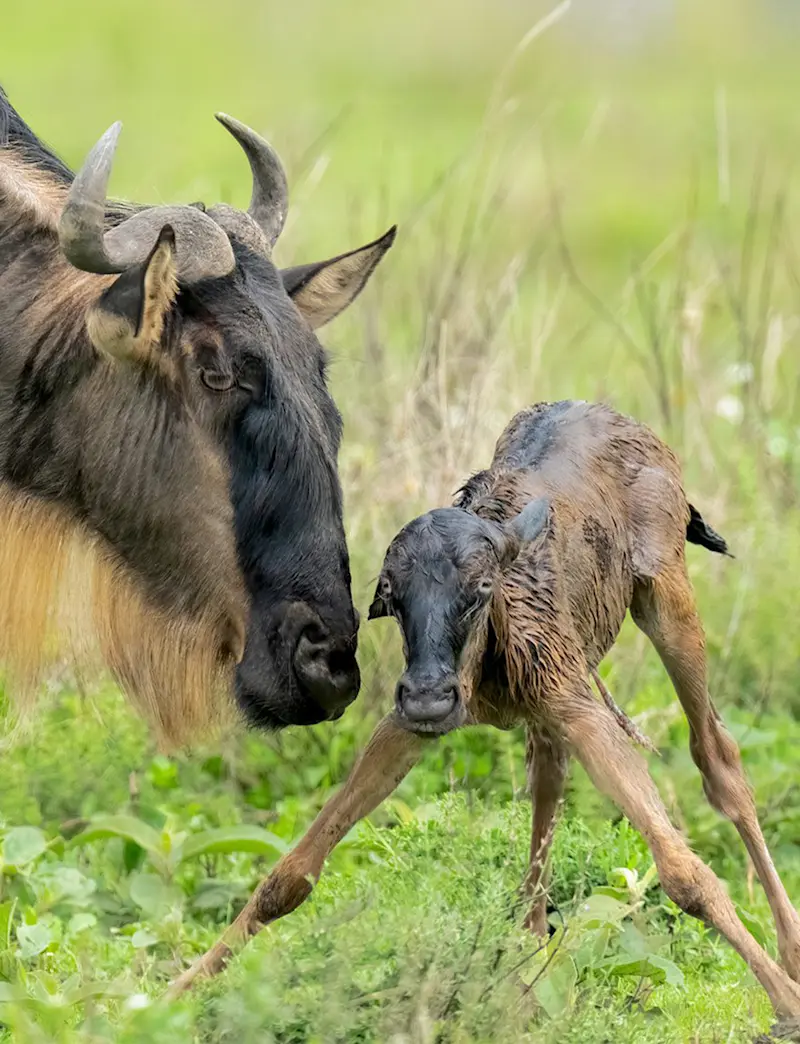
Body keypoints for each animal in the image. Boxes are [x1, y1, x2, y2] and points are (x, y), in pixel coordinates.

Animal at [169, 401, 800, 1022]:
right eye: (391, 595)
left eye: (479, 589)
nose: (429, 695)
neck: (489, 663)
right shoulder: (411, 725)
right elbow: (292, 870)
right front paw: (179, 988)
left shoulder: (574, 700)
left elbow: (682, 868)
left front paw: (785, 999)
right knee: (549, 778)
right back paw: (530, 963)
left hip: (665, 598)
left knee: (717, 757)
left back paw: (788, 952)